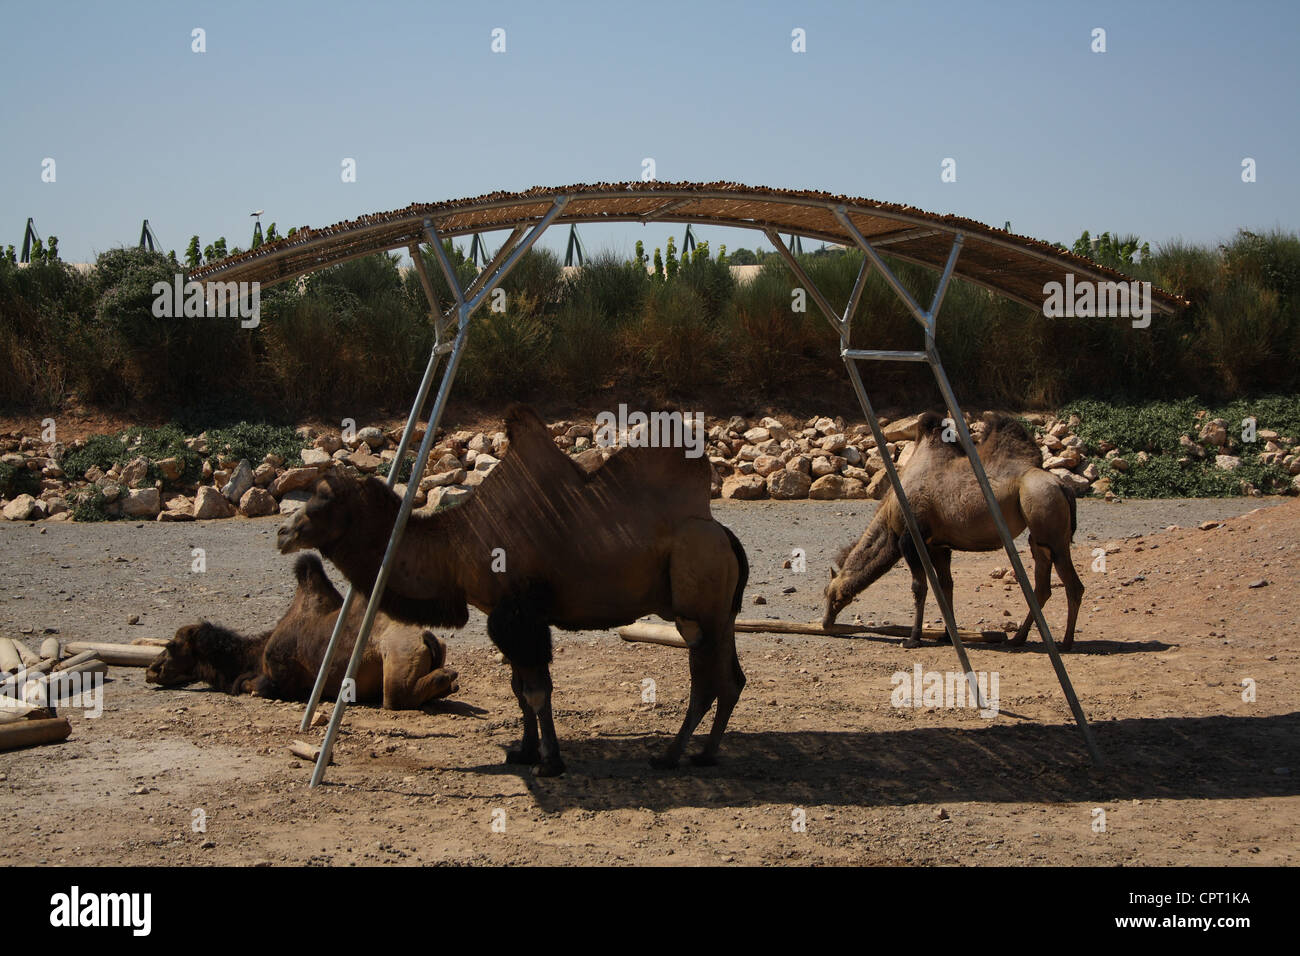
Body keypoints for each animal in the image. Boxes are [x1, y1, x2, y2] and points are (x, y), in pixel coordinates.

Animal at [146, 554, 459, 709]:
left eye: (171, 645)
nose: (152, 670)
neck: (254, 654)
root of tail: (426, 637)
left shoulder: (278, 680)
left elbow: (253, 687)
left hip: (396, 661)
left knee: (396, 696)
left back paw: (448, 677)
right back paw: (449, 681)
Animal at [276, 404, 749, 776]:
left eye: (323, 499)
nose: (283, 532)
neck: (451, 550)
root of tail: (726, 536)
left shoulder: (519, 615)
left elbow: (536, 691)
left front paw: (550, 762)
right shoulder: (503, 615)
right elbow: (519, 689)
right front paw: (524, 752)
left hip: (697, 604)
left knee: (706, 681)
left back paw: (670, 756)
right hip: (722, 611)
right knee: (731, 679)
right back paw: (705, 754)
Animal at [822, 412, 1084, 649]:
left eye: (829, 594)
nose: (826, 623)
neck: (889, 515)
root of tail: (1062, 486)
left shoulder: (910, 541)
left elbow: (919, 588)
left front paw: (913, 639)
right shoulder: (939, 546)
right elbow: (946, 587)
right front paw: (946, 636)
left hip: (1048, 520)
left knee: (1073, 586)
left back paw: (1066, 643)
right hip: (1040, 537)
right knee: (1042, 586)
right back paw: (1018, 638)